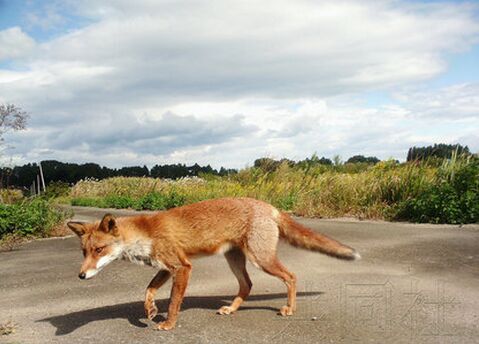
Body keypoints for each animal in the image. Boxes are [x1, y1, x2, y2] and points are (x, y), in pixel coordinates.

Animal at [67, 198, 360, 330]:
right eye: (84, 252)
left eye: (99, 250)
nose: (80, 276)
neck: (145, 234)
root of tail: (268, 205)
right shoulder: (166, 267)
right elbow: (149, 290)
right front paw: (149, 311)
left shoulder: (182, 267)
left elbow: (173, 302)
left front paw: (168, 324)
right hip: (236, 261)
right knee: (247, 285)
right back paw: (231, 309)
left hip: (261, 259)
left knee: (291, 276)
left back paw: (289, 308)